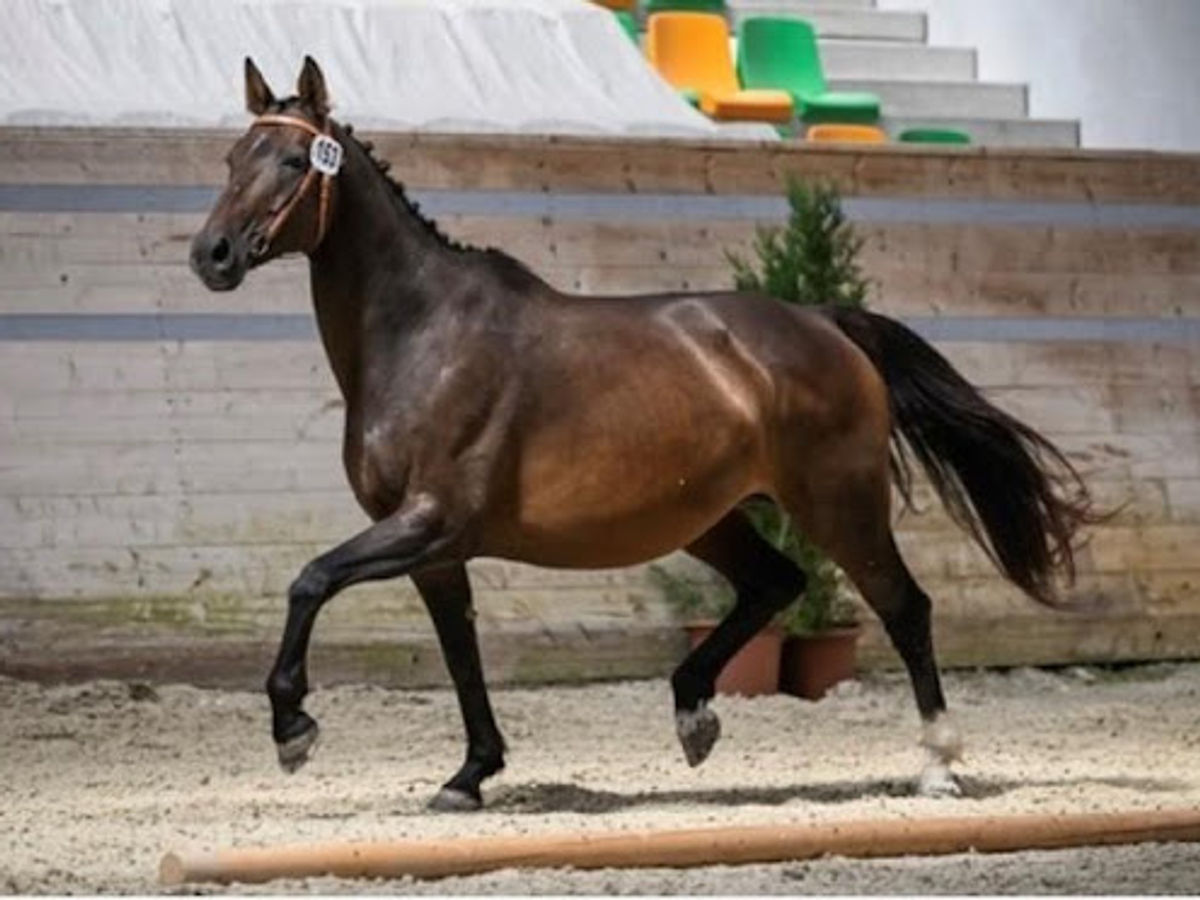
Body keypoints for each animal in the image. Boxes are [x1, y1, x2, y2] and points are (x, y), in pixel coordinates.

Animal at [190, 57, 1097, 811]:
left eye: (292, 162)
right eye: (232, 159)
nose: (213, 254)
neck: (423, 335)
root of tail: (825, 322)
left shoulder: (430, 522)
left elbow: (309, 581)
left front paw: (294, 732)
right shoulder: (433, 549)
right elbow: (459, 652)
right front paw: (470, 774)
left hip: (839, 504)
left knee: (904, 607)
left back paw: (938, 765)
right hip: (710, 516)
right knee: (776, 583)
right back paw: (694, 713)